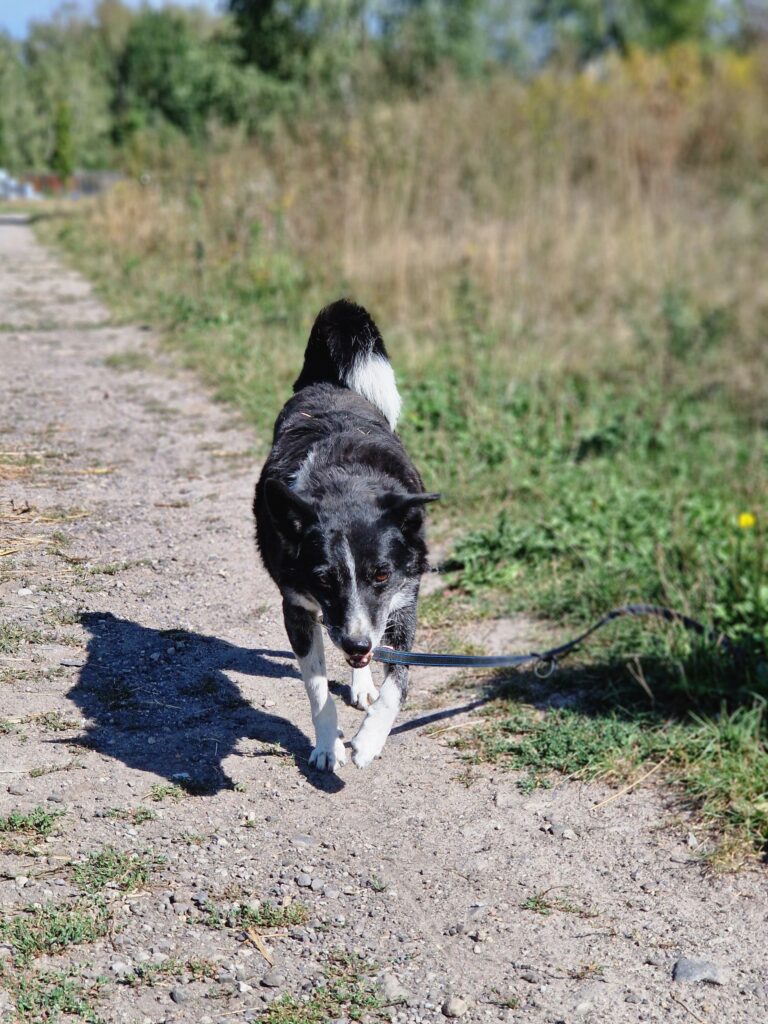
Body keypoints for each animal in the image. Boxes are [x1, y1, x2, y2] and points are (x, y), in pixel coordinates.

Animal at [256, 299, 438, 770]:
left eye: (381, 575)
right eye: (323, 579)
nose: (355, 642)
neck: (346, 487)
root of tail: (325, 381)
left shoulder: (403, 600)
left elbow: (398, 682)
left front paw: (370, 738)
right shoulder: (297, 609)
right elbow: (317, 690)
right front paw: (326, 747)